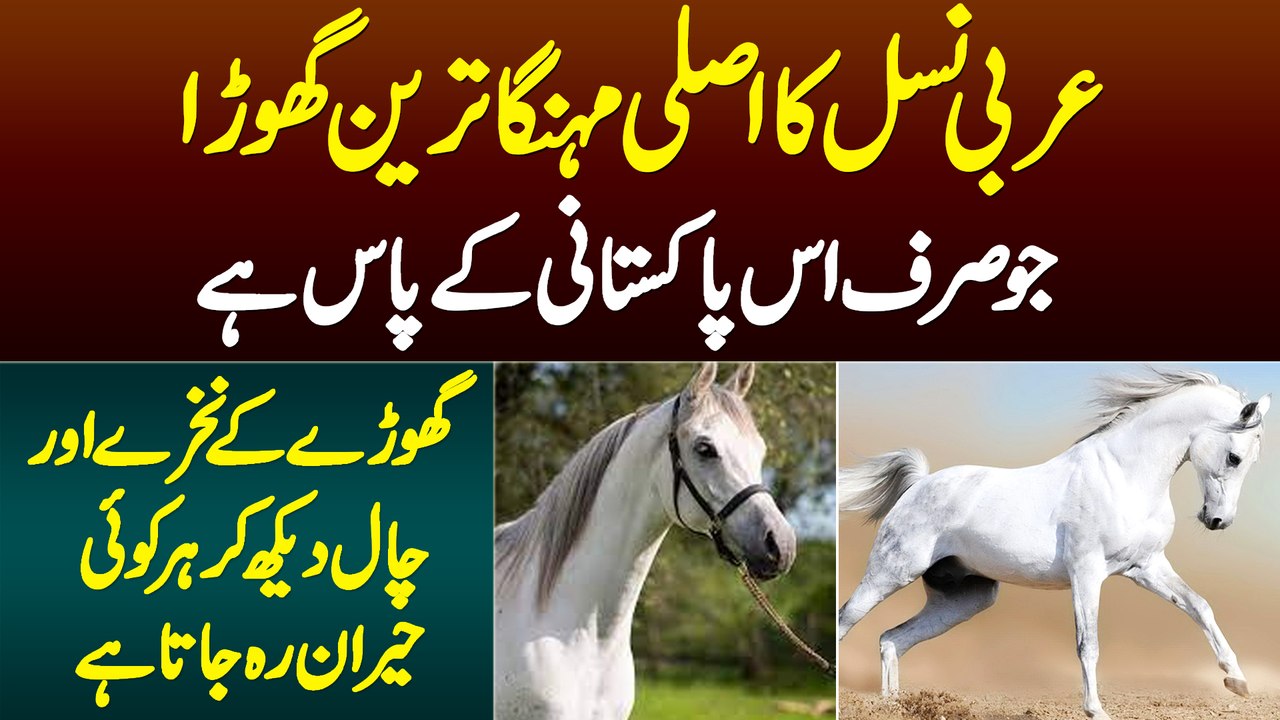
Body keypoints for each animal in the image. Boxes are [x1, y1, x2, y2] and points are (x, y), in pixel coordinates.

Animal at [836, 369, 1270, 720]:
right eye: (1234, 457)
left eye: (1251, 461)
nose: (1217, 520)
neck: (1123, 476)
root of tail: (919, 484)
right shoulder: (1087, 572)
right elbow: (1087, 643)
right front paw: (1095, 710)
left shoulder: (1146, 567)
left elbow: (1199, 606)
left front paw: (1237, 682)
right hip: (891, 573)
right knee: (847, 619)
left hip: (965, 599)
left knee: (892, 639)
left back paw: (894, 705)